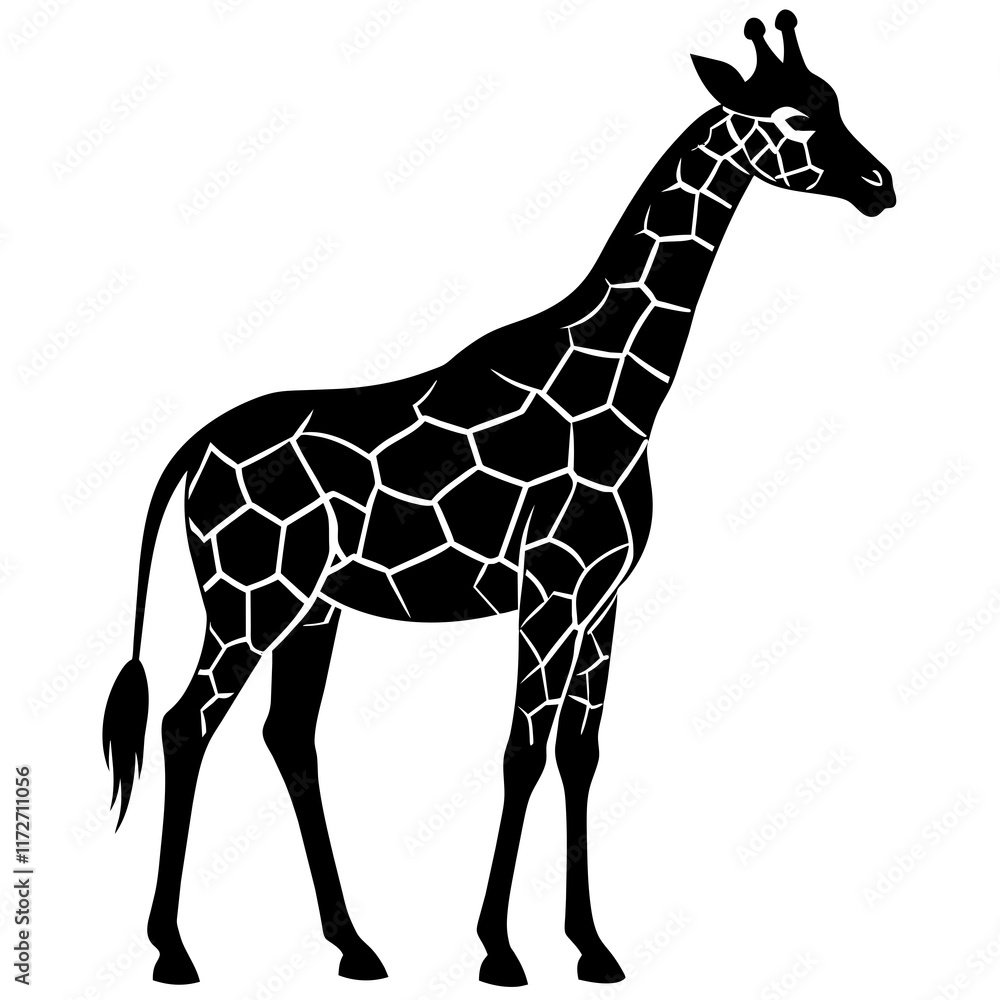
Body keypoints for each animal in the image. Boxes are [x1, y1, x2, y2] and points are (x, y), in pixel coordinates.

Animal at [102, 11, 895, 987]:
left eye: (837, 101)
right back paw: (173, 950)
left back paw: (354, 945)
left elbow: (580, 753)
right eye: (791, 118)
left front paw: (593, 947)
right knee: (185, 725)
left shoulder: (601, 597)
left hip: (313, 607)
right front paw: (499, 951)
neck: (623, 395)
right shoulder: (546, 592)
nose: (881, 185)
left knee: (287, 736)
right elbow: (522, 752)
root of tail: (195, 448)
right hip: (250, 597)